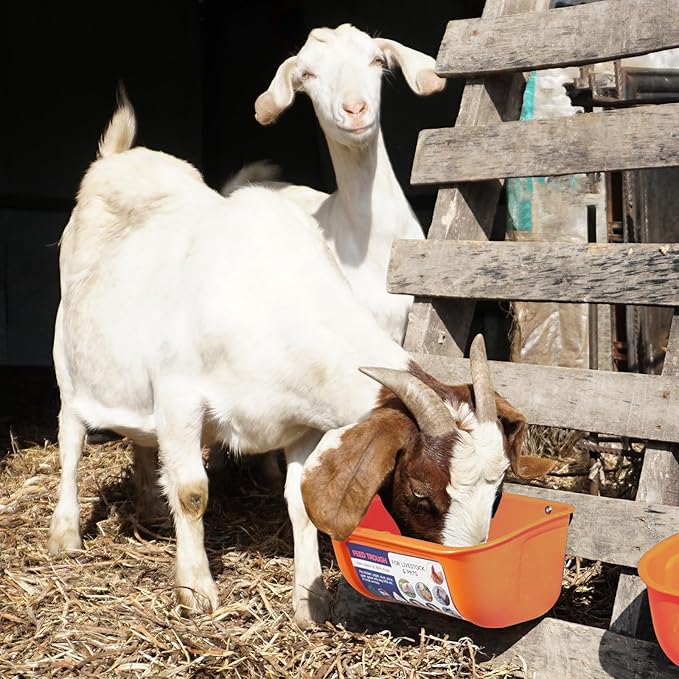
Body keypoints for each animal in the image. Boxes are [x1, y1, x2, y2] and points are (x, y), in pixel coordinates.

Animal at [48, 97, 554, 629]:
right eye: (419, 490)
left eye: (498, 492)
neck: (268, 294)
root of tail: (117, 160)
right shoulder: (178, 398)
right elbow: (191, 492)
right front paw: (197, 591)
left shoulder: (302, 423)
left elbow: (302, 503)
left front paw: (310, 601)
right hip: (67, 365)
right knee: (71, 443)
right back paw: (65, 534)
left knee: (142, 441)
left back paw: (148, 504)